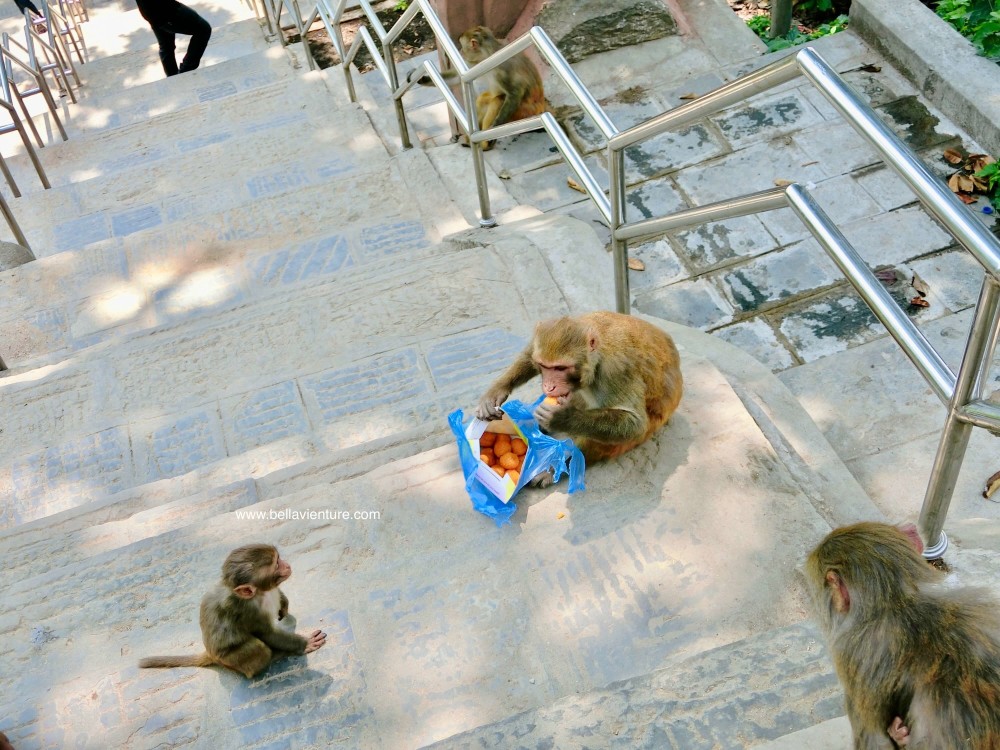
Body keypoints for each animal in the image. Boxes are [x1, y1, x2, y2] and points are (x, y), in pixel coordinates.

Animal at [139, 544, 326, 679]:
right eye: (277, 564)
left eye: (279, 558)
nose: (287, 565)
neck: (260, 593)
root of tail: (210, 653)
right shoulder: (249, 612)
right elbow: (267, 634)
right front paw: (304, 643)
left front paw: (284, 604)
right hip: (230, 659)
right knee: (258, 647)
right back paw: (275, 656)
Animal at [407, 25, 546, 150]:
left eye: (463, 47)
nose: (462, 53)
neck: (490, 54)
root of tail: (542, 106)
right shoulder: (477, 62)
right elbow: (456, 78)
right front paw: (422, 78)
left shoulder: (503, 68)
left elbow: (515, 93)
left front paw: (494, 126)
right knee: (484, 99)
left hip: (524, 112)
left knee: (499, 99)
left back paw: (485, 145)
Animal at [476, 311, 683, 469]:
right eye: (544, 366)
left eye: (560, 368)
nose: (549, 386)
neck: (597, 356)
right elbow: (529, 354)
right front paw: (495, 392)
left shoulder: (617, 371)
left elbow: (635, 422)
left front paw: (562, 418)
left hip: (656, 420)